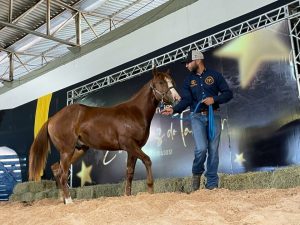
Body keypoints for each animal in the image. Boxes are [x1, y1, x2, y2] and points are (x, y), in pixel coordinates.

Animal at [28, 68, 180, 204]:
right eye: (161, 82)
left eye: (172, 81)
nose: (177, 98)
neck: (135, 112)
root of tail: (52, 119)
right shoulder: (129, 144)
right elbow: (147, 160)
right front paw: (150, 189)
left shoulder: (133, 149)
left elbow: (129, 172)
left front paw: (128, 196)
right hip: (67, 150)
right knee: (64, 174)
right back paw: (69, 201)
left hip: (79, 149)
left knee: (57, 169)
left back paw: (63, 200)